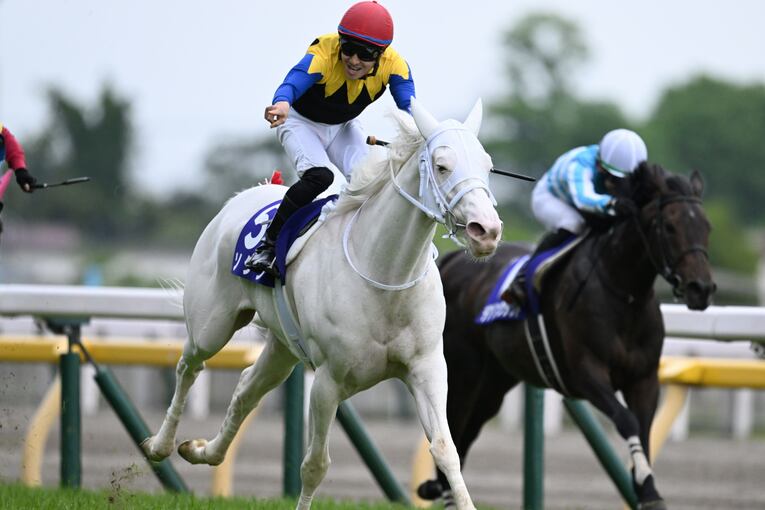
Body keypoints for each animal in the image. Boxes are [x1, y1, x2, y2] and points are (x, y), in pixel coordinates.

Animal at [140, 98, 503, 510]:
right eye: (442, 166)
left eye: (487, 165)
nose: (487, 231)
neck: (385, 275)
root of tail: (244, 197)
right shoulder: (328, 381)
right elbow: (315, 464)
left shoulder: (427, 369)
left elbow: (445, 449)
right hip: (210, 325)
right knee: (189, 366)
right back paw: (160, 444)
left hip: (282, 348)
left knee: (247, 387)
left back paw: (202, 450)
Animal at [417, 163, 715, 510]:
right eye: (669, 226)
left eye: (706, 226)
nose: (701, 288)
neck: (624, 295)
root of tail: (452, 261)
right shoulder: (585, 373)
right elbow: (626, 420)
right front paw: (643, 481)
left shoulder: (644, 378)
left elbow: (643, 429)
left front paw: (648, 491)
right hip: (464, 371)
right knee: (454, 424)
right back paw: (442, 490)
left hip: (494, 381)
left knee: (469, 429)